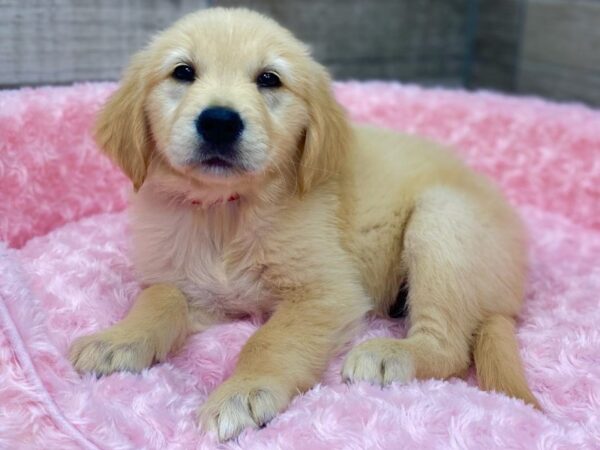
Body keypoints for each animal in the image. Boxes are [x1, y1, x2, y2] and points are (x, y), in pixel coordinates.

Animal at [69, 7, 540, 442]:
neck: (227, 212)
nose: (219, 121)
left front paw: (242, 392)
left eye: (269, 79)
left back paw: (390, 354)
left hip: (442, 221)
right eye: (183, 72)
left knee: (450, 348)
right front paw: (118, 341)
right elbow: (158, 298)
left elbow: (270, 339)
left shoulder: (326, 293)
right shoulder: (191, 286)